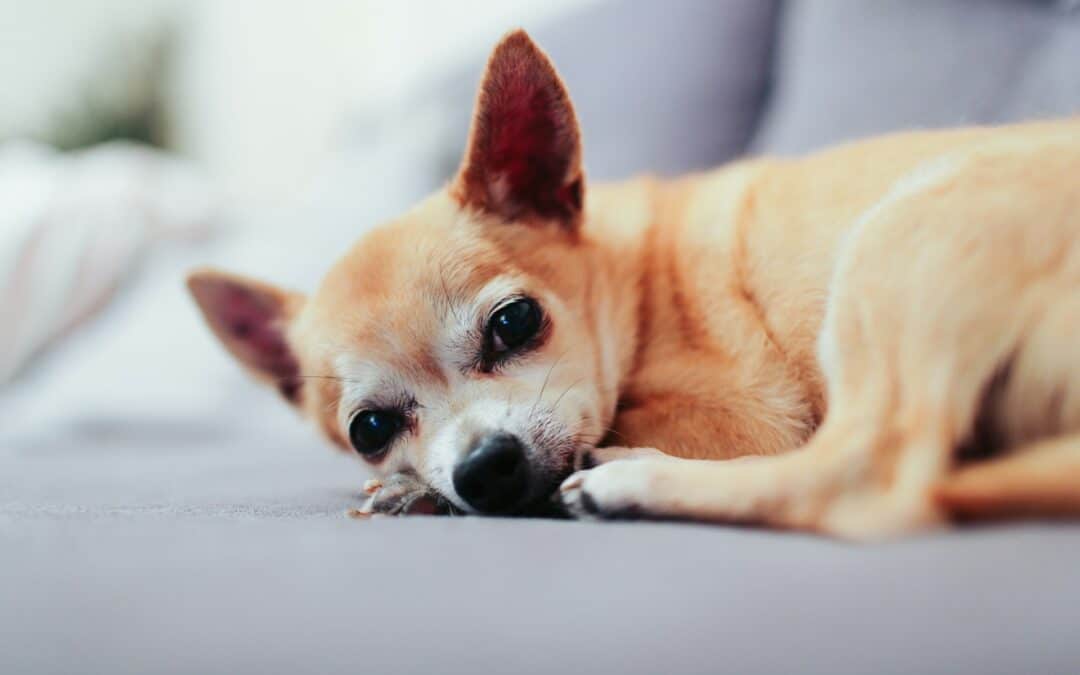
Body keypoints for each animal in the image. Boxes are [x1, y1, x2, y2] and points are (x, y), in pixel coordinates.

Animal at [190, 30, 1080, 537]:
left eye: (515, 323)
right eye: (369, 428)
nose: (483, 467)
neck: (634, 281)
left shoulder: (747, 419)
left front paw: (420, 493)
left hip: (906, 230)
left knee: (865, 478)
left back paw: (631, 478)